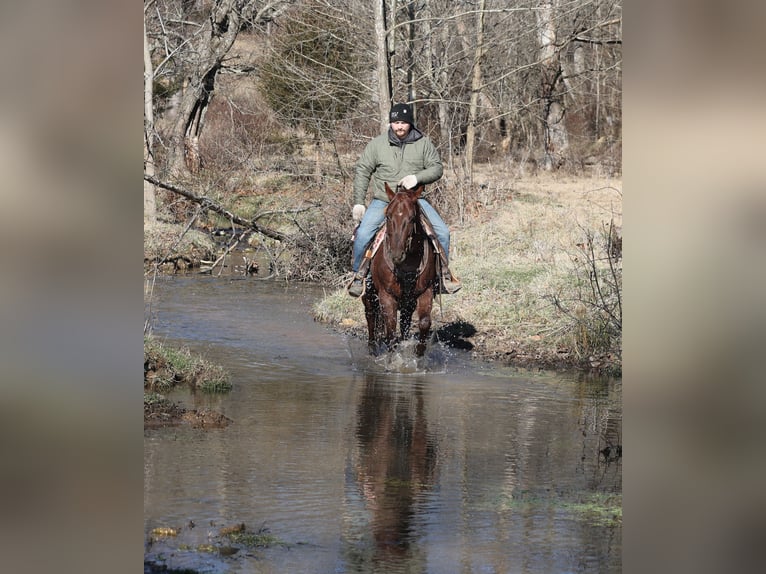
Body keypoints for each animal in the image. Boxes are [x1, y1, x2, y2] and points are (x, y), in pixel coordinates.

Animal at [362, 182, 438, 357]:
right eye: (388, 216)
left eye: (411, 218)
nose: (396, 254)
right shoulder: (386, 295)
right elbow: (390, 329)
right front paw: (394, 358)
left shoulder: (426, 291)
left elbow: (424, 322)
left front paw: (418, 354)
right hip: (369, 291)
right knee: (370, 314)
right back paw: (372, 348)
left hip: (408, 301)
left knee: (405, 321)